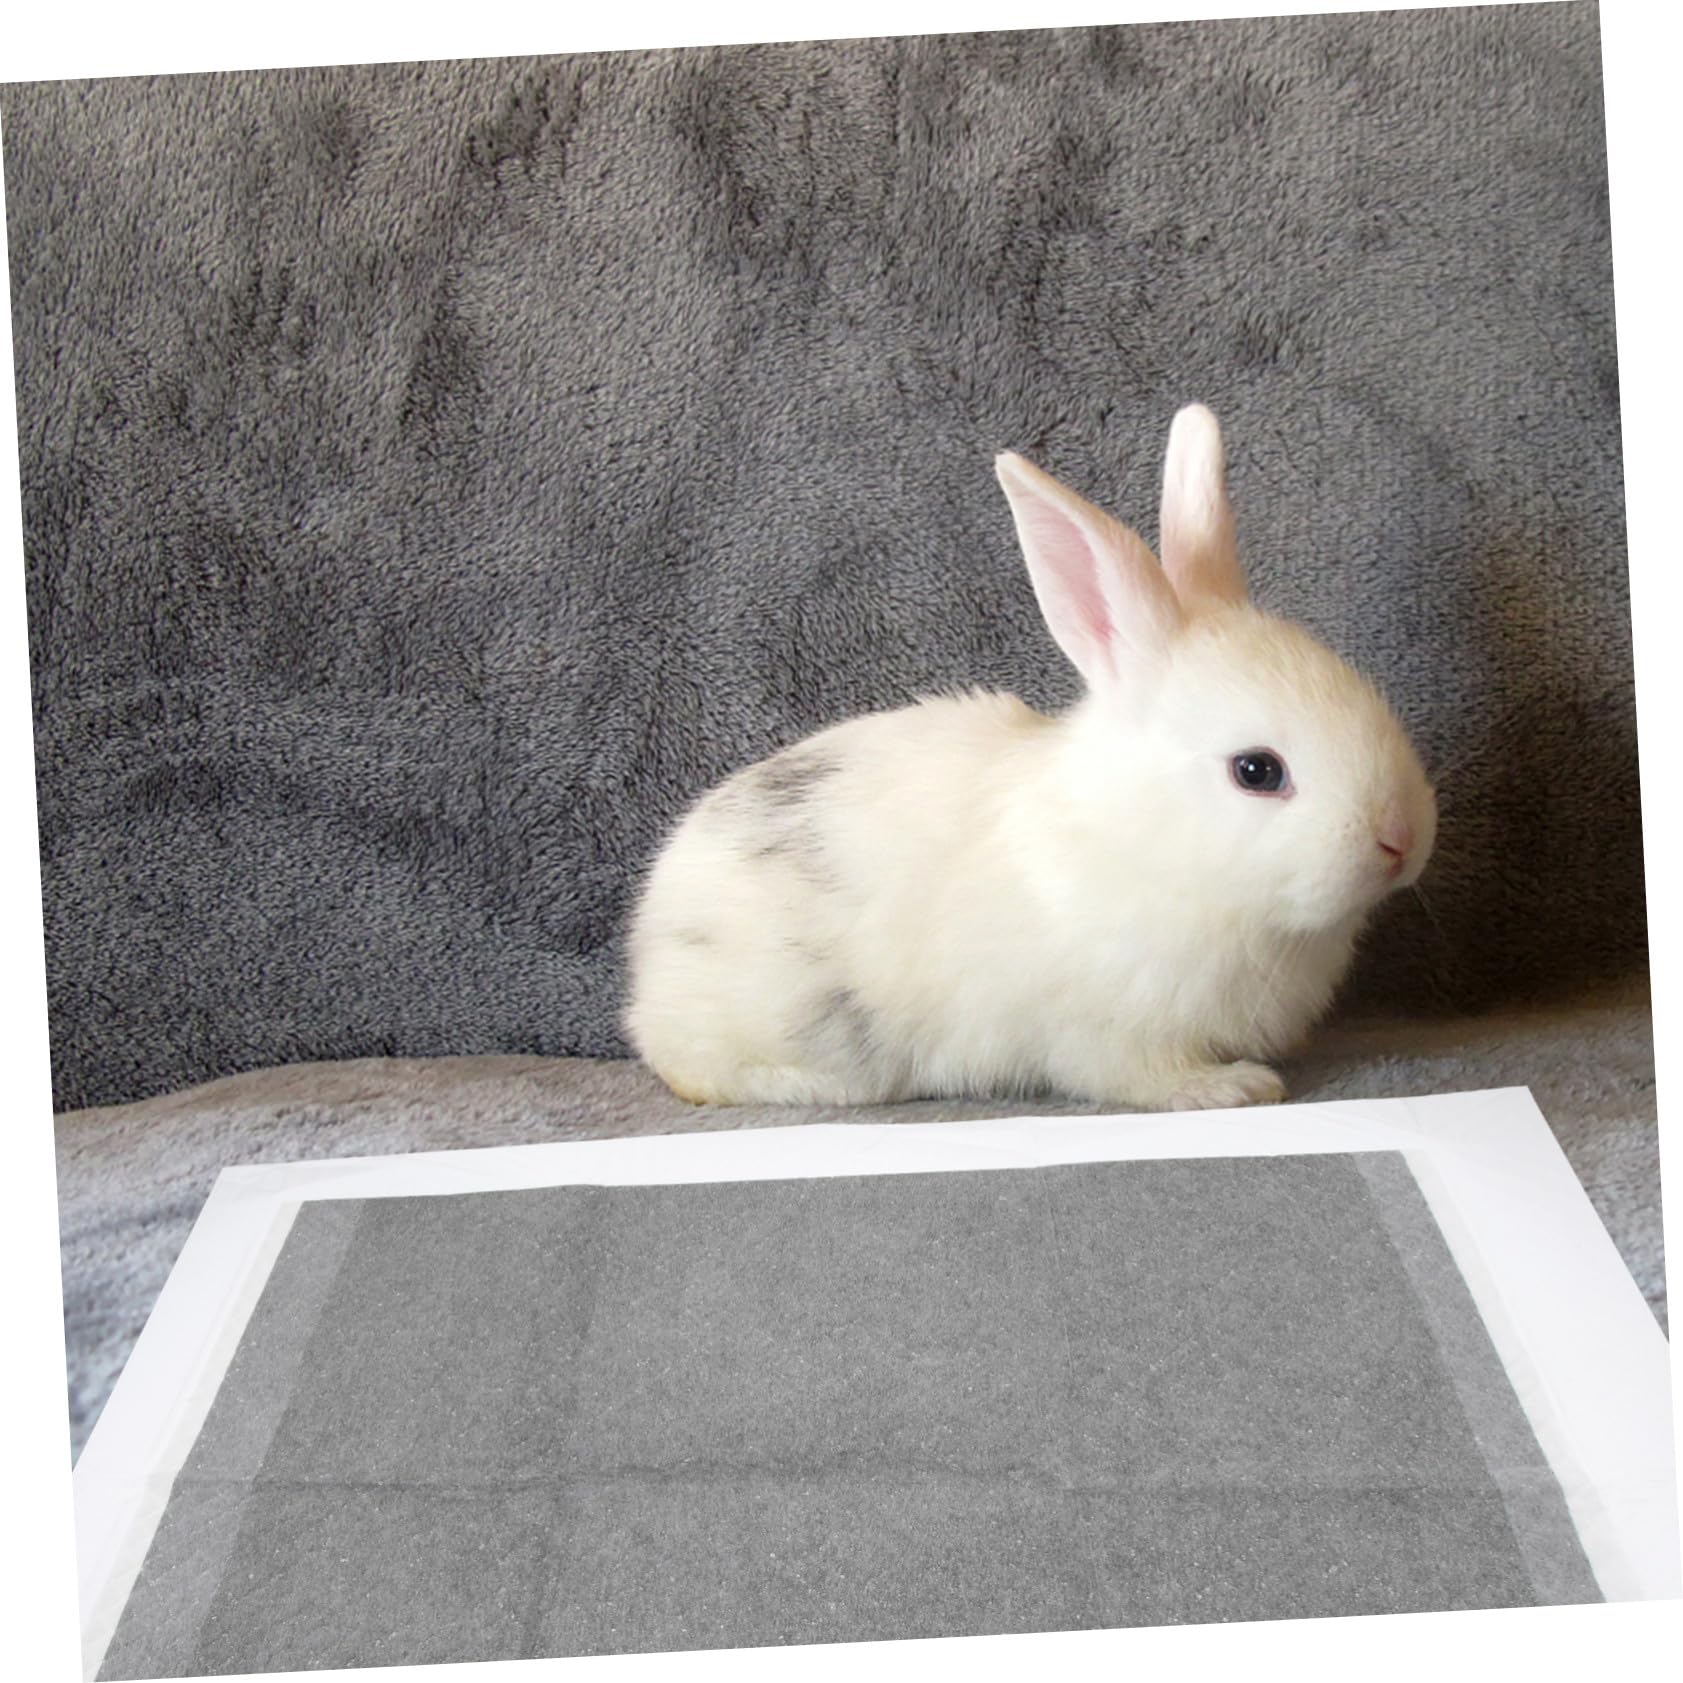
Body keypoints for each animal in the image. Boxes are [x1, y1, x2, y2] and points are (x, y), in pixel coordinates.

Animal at [623, 404, 1436, 1111]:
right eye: (1257, 770)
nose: (1402, 840)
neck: (1143, 840)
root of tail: (645, 962)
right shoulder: (1106, 1032)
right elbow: (1142, 1075)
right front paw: (1233, 1087)